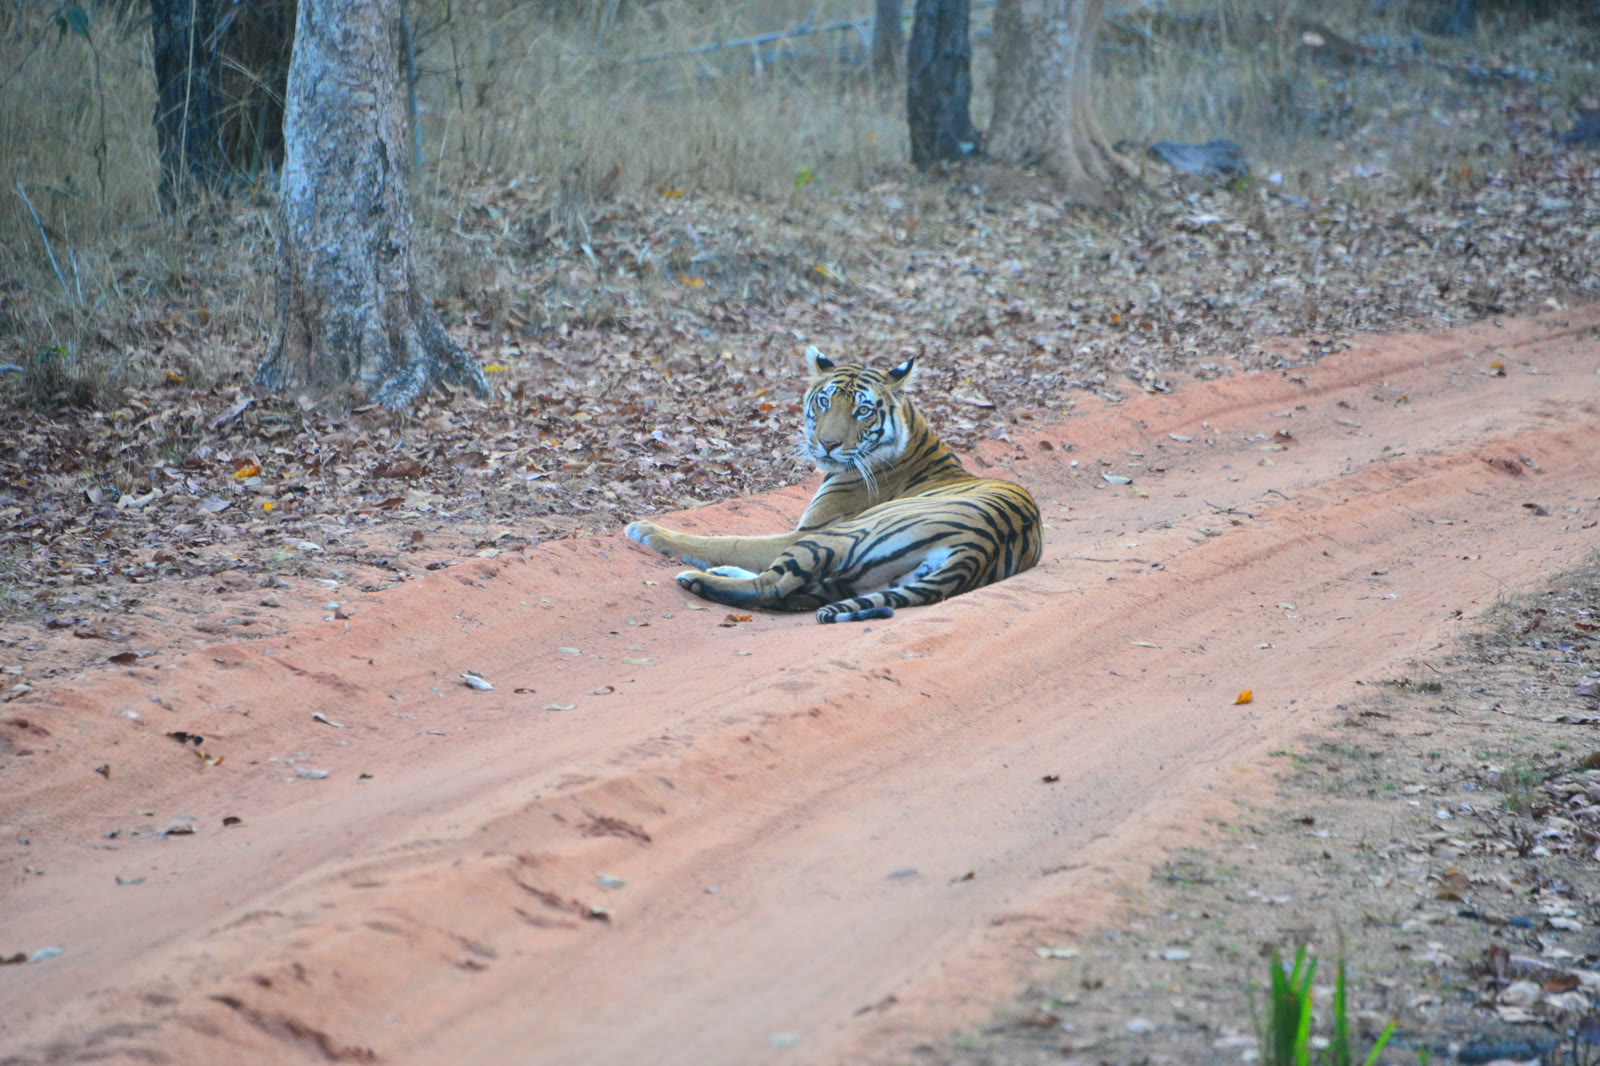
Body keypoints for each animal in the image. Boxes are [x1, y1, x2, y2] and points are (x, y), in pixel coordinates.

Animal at [625, 346, 1042, 623]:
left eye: (863, 410)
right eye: (824, 401)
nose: (827, 443)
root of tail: (978, 549)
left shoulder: (808, 529)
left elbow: (730, 541)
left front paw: (646, 530)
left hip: (841, 536)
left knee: (773, 586)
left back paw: (698, 580)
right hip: (859, 577)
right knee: (796, 592)